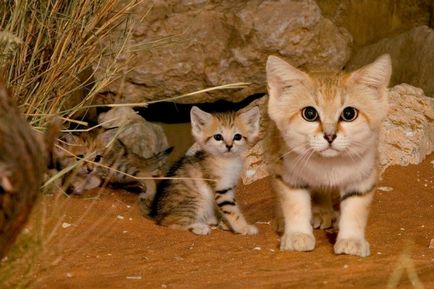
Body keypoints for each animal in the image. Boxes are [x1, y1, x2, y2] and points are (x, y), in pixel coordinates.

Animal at [142, 104, 260, 235]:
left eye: (237, 137)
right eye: (218, 137)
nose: (229, 146)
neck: (227, 160)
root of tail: (156, 214)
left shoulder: (229, 186)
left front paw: (225, 224)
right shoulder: (221, 188)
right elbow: (231, 210)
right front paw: (243, 228)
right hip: (197, 201)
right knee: (167, 222)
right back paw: (199, 227)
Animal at [264, 53, 394, 255]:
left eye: (349, 114)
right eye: (309, 113)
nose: (330, 136)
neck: (327, 164)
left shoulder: (364, 176)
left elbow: (355, 209)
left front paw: (351, 240)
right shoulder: (287, 174)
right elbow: (295, 205)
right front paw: (298, 235)